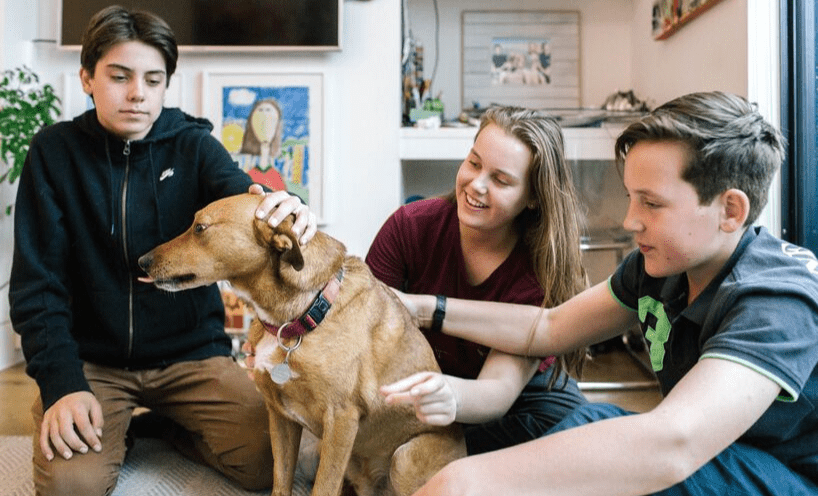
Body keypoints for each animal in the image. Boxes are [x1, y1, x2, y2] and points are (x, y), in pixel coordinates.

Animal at [137, 194, 462, 496]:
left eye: (200, 228)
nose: (141, 261)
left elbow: (323, 489)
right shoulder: (279, 416)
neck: (301, 315)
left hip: (403, 458)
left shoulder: (341, 420)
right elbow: (281, 482)